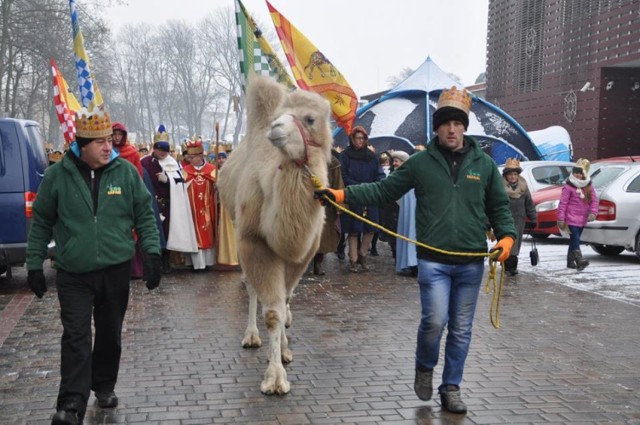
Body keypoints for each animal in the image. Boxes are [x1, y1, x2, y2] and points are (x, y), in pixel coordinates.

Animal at [218, 73, 332, 394]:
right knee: (252, 289)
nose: (276, 128)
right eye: (279, 115)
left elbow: (286, 301)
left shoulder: (302, 254)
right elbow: (272, 311)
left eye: (309, 119)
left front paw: (283, 351)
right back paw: (251, 336)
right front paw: (275, 379)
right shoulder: (254, 242)